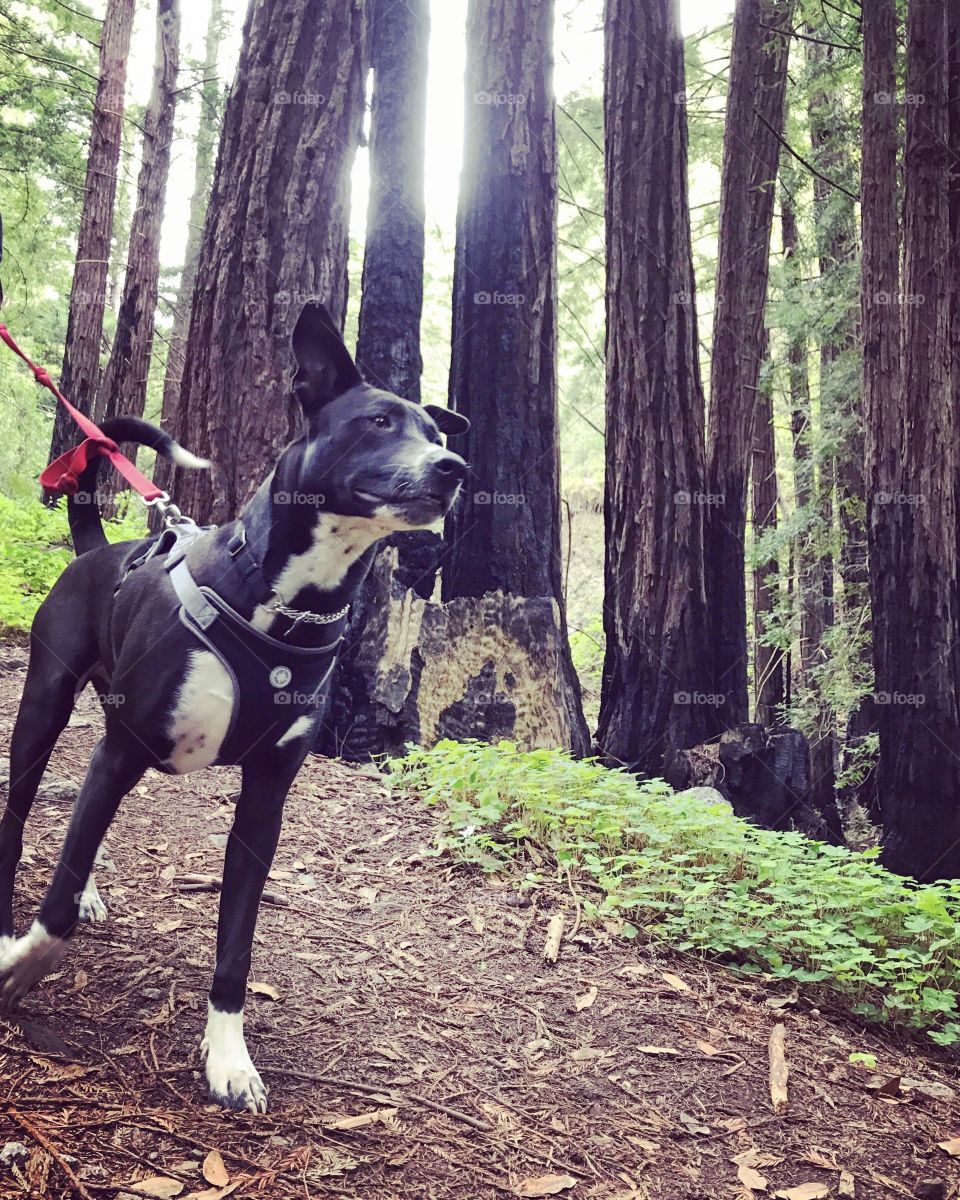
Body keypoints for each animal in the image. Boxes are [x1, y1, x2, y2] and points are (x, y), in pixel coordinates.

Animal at [0, 304, 468, 1108]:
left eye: (435, 433)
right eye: (378, 421)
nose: (454, 468)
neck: (282, 608)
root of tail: (95, 550)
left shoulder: (264, 801)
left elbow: (236, 945)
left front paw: (228, 1056)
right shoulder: (124, 748)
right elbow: (53, 905)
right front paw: (24, 960)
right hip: (43, 710)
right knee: (19, 815)